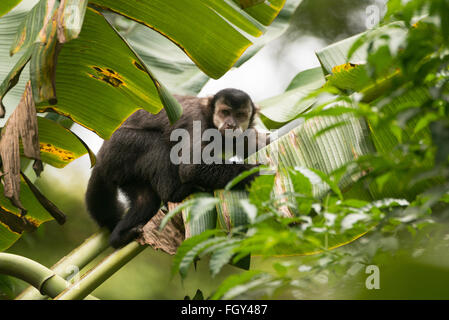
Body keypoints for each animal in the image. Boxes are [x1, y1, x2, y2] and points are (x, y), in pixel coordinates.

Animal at [86, 89, 270, 249]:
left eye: (240, 115)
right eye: (225, 112)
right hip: (120, 147)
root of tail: (100, 156)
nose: (231, 124)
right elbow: (191, 167)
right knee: (157, 146)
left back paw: (118, 237)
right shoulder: (197, 121)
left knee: (145, 200)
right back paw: (174, 193)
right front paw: (254, 173)